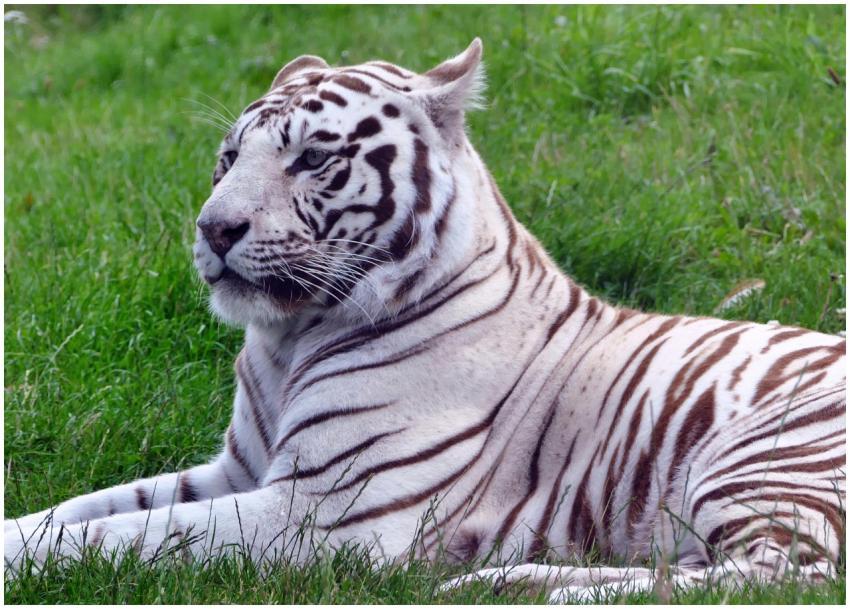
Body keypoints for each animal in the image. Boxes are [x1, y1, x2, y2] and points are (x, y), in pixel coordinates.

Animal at [5, 39, 845, 602]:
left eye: (313, 158)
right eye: (228, 156)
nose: (213, 229)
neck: (287, 339)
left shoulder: (319, 511)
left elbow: (125, 534)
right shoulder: (235, 470)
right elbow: (81, 510)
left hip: (758, 458)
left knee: (774, 575)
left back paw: (514, 583)